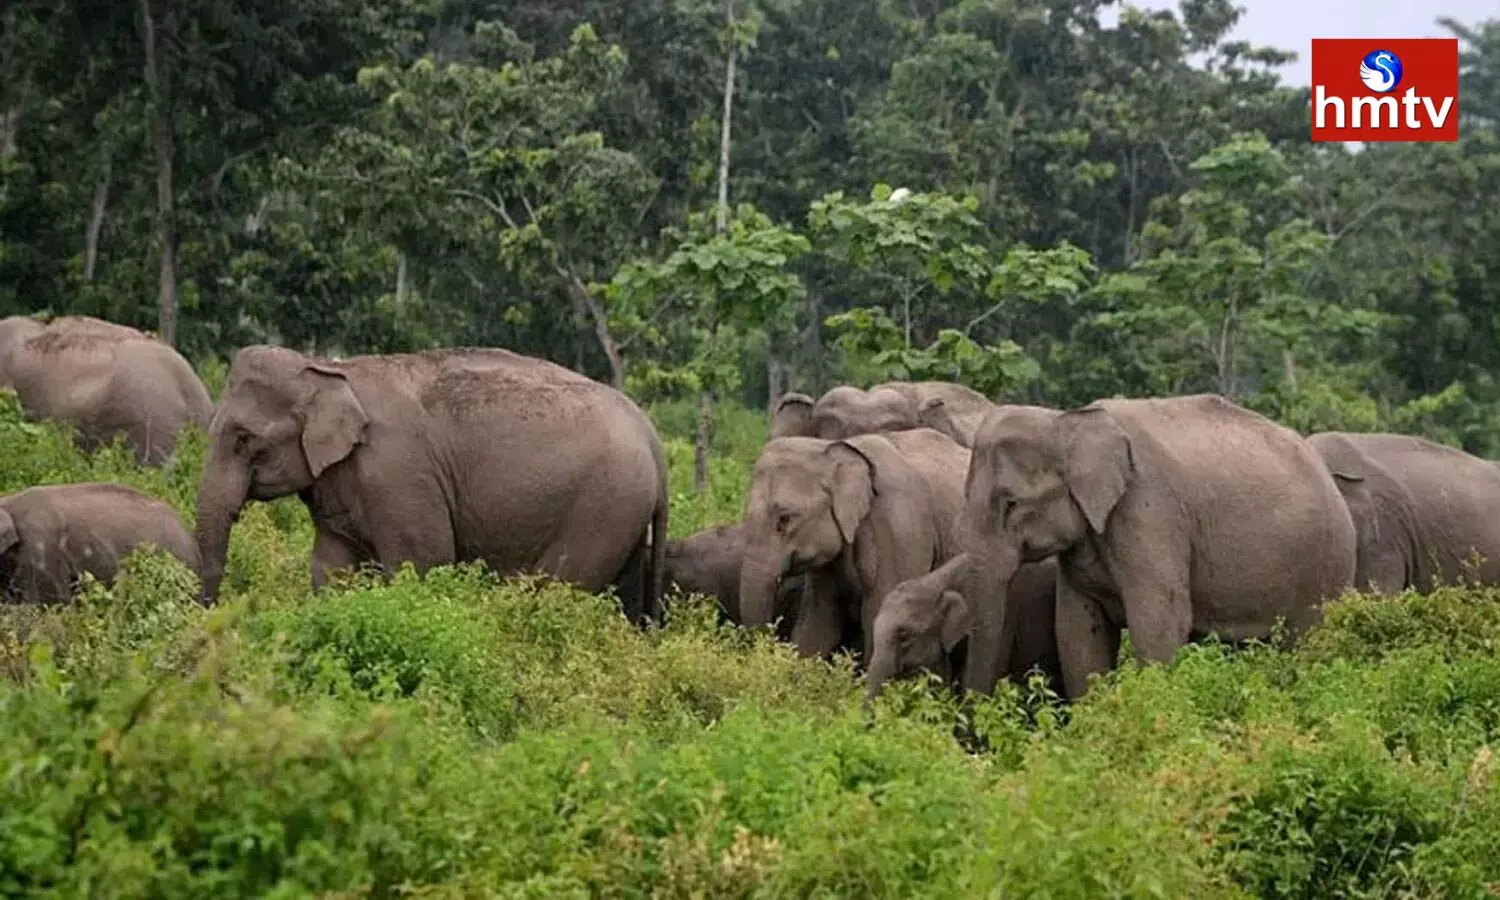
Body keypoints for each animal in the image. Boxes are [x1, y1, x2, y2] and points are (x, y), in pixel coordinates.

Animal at [193, 345, 669, 623]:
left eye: (243, 440)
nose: (210, 614)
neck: (329, 369)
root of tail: (651, 435)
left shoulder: (399, 475)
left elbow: (423, 559)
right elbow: (330, 566)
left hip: (602, 506)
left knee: (558, 591)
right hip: (624, 515)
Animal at [961, 394, 1358, 700]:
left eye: (1011, 503)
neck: (1066, 420)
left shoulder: (1150, 512)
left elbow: (1160, 622)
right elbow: (1077, 629)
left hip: (1326, 563)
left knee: (1309, 641)